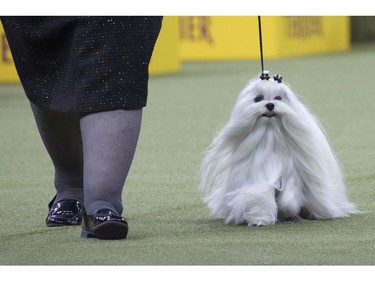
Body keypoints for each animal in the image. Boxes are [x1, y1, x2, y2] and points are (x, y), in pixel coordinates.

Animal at [201, 74, 360, 225]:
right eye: (258, 99)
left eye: (278, 98)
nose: (270, 105)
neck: (271, 137)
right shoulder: (259, 173)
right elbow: (259, 193)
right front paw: (260, 218)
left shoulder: (292, 173)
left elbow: (290, 198)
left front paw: (286, 211)